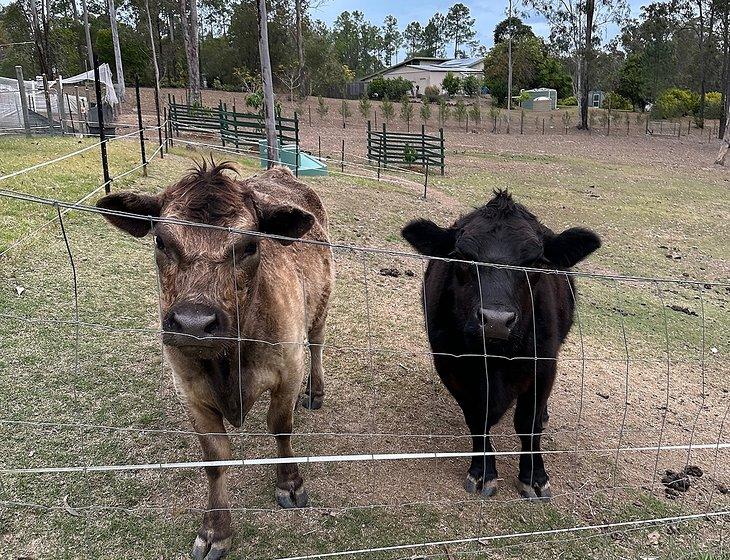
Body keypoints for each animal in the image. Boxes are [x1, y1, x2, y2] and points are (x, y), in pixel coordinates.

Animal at [96, 162, 332, 560]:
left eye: (250, 245)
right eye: (161, 241)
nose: (194, 323)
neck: (229, 362)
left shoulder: (289, 369)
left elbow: (280, 426)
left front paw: (290, 482)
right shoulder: (189, 390)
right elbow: (215, 457)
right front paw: (215, 529)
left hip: (321, 305)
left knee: (316, 342)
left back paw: (315, 391)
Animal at [400, 191, 600, 498]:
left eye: (535, 262)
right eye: (462, 257)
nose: (495, 320)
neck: (494, 361)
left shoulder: (543, 366)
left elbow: (528, 424)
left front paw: (534, 477)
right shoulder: (450, 366)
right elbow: (477, 419)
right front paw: (483, 472)